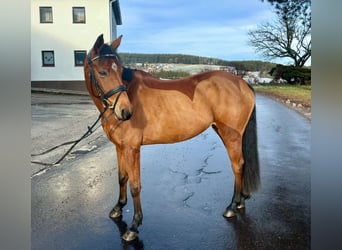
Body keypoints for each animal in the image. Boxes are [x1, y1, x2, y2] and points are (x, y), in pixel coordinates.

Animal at [84, 34, 260, 241]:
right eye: (103, 72)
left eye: (119, 71)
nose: (125, 112)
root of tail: (242, 83)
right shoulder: (120, 147)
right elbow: (122, 178)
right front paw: (118, 208)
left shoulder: (132, 149)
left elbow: (135, 186)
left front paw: (134, 226)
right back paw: (239, 202)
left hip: (231, 136)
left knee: (237, 166)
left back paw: (232, 206)